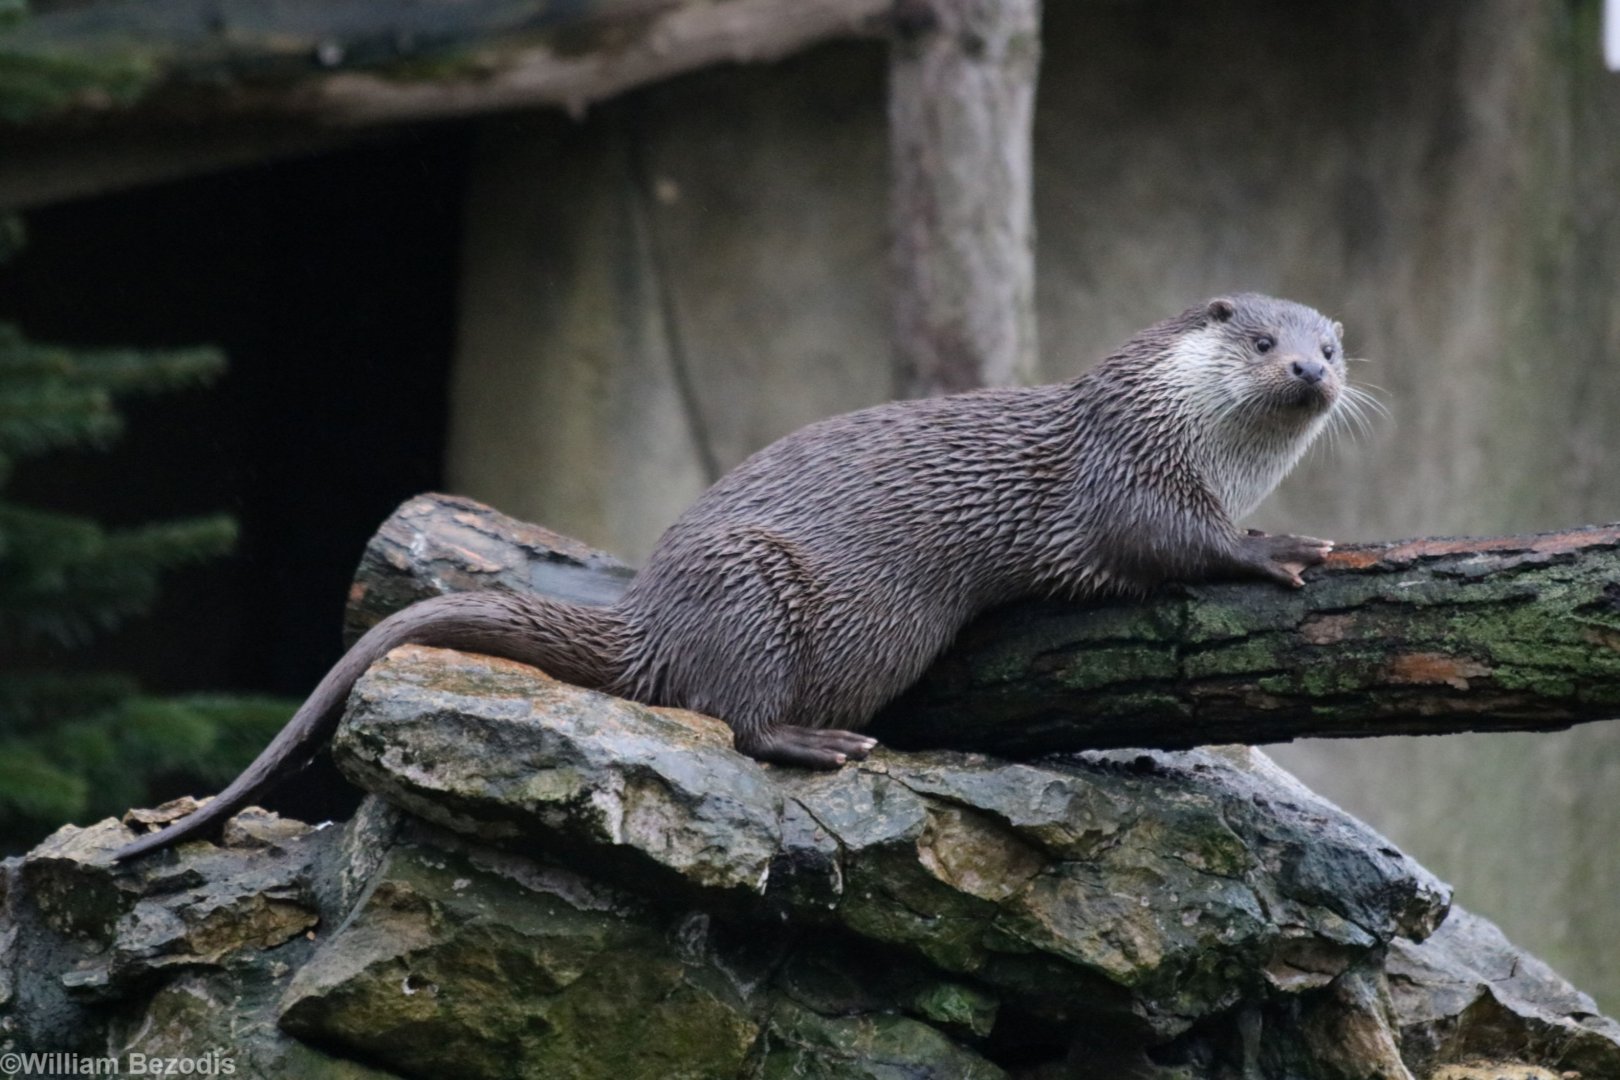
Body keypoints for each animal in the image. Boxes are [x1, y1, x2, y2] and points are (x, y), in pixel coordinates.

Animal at [115, 293, 1355, 862]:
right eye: (1260, 343)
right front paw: (1285, 546)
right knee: (736, 717)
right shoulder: (1121, 476)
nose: (1310, 370)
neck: (1171, 423)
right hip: (754, 585)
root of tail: (648, 617)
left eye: (1332, 346)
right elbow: (1171, 543)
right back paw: (825, 742)